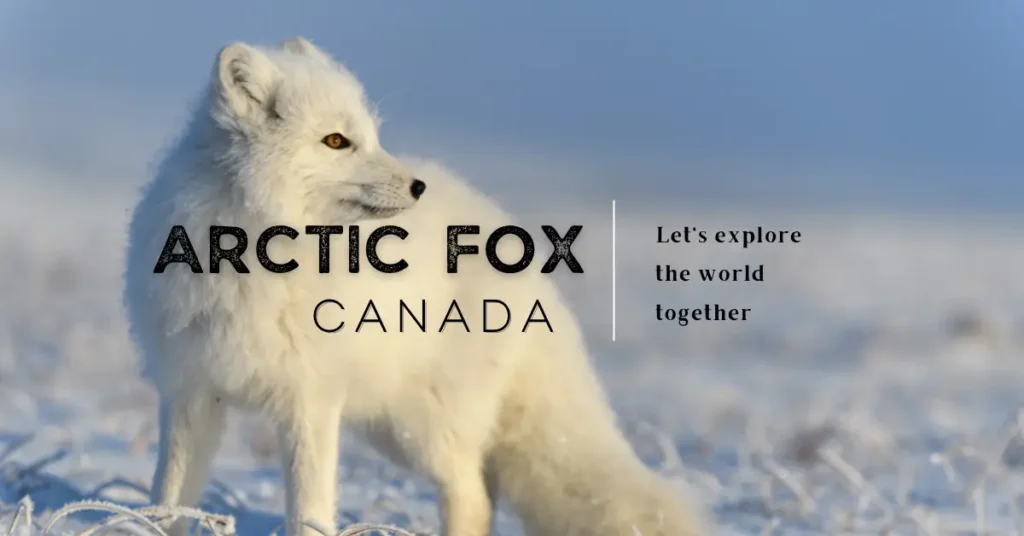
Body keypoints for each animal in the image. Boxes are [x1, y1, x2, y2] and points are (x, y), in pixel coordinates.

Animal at [121, 37, 704, 536]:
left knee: (473, 494)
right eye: (337, 141)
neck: (258, 254)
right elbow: (168, 498)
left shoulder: (310, 399)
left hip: (421, 431)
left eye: (372, 137)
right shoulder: (191, 393)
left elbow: (309, 510)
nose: (417, 187)